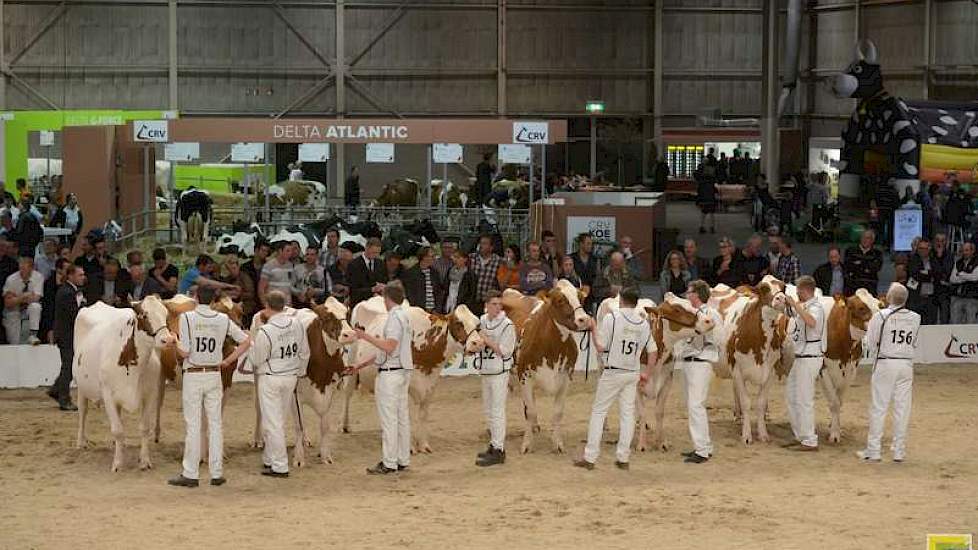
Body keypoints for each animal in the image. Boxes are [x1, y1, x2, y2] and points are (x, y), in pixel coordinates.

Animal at [73, 298, 173, 474]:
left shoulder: (150, 394)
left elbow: (144, 428)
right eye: (144, 315)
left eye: (166, 314)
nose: (168, 340)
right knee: (83, 411)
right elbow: (118, 430)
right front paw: (118, 463)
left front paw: (144, 461)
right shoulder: (108, 394)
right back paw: (81, 442)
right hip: (81, 386)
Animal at [510, 278, 588, 454]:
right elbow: (531, 411)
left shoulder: (566, 377)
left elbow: (558, 412)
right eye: (560, 300)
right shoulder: (524, 376)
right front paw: (526, 444)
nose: (584, 319)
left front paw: (557, 443)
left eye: (580, 297)